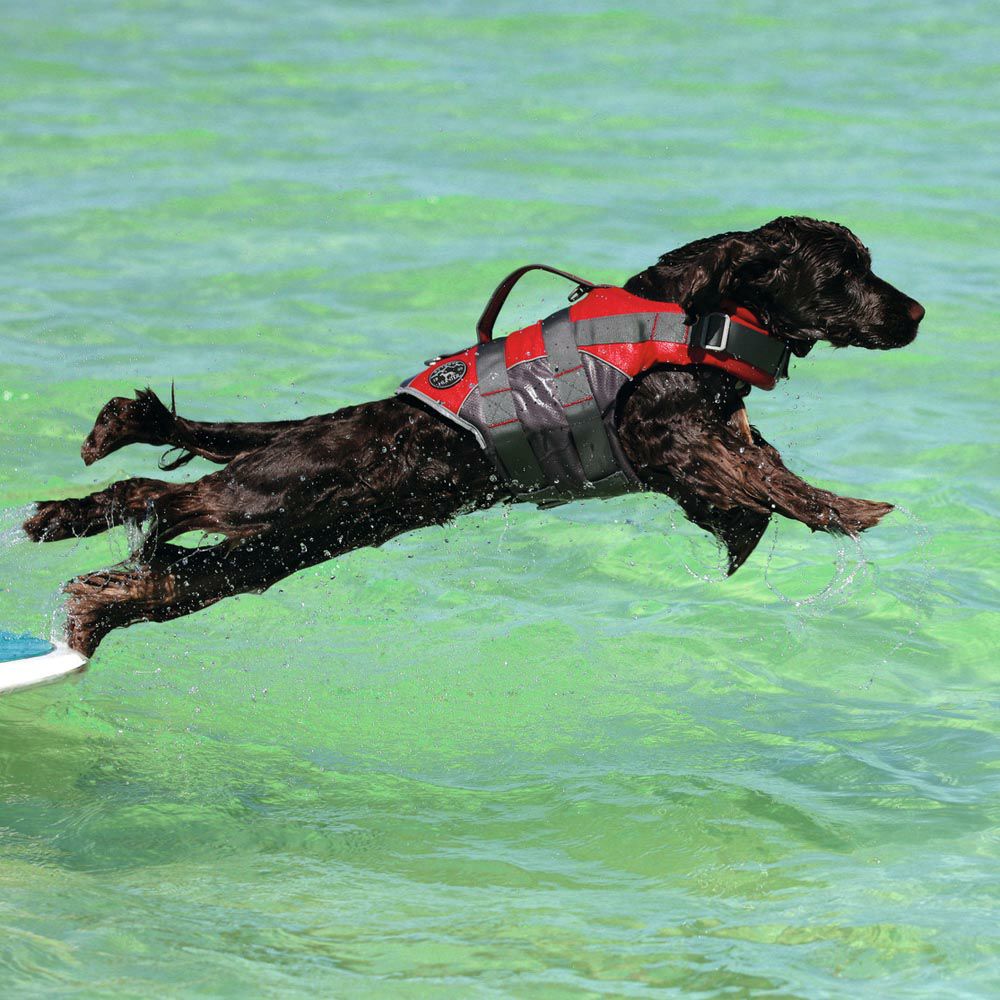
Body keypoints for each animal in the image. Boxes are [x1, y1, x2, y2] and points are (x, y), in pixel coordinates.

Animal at [23, 216, 924, 657]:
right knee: (157, 495)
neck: (705, 317)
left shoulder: (711, 445)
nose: (916, 312)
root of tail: (310, 430)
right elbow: (763, 485)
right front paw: (850, 511)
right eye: (843, 273)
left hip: (274, 549)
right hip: (270, 494)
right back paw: (68, 512)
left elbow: (760, 479)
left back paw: (93, 608)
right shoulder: (670, 440)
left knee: (163, 574)